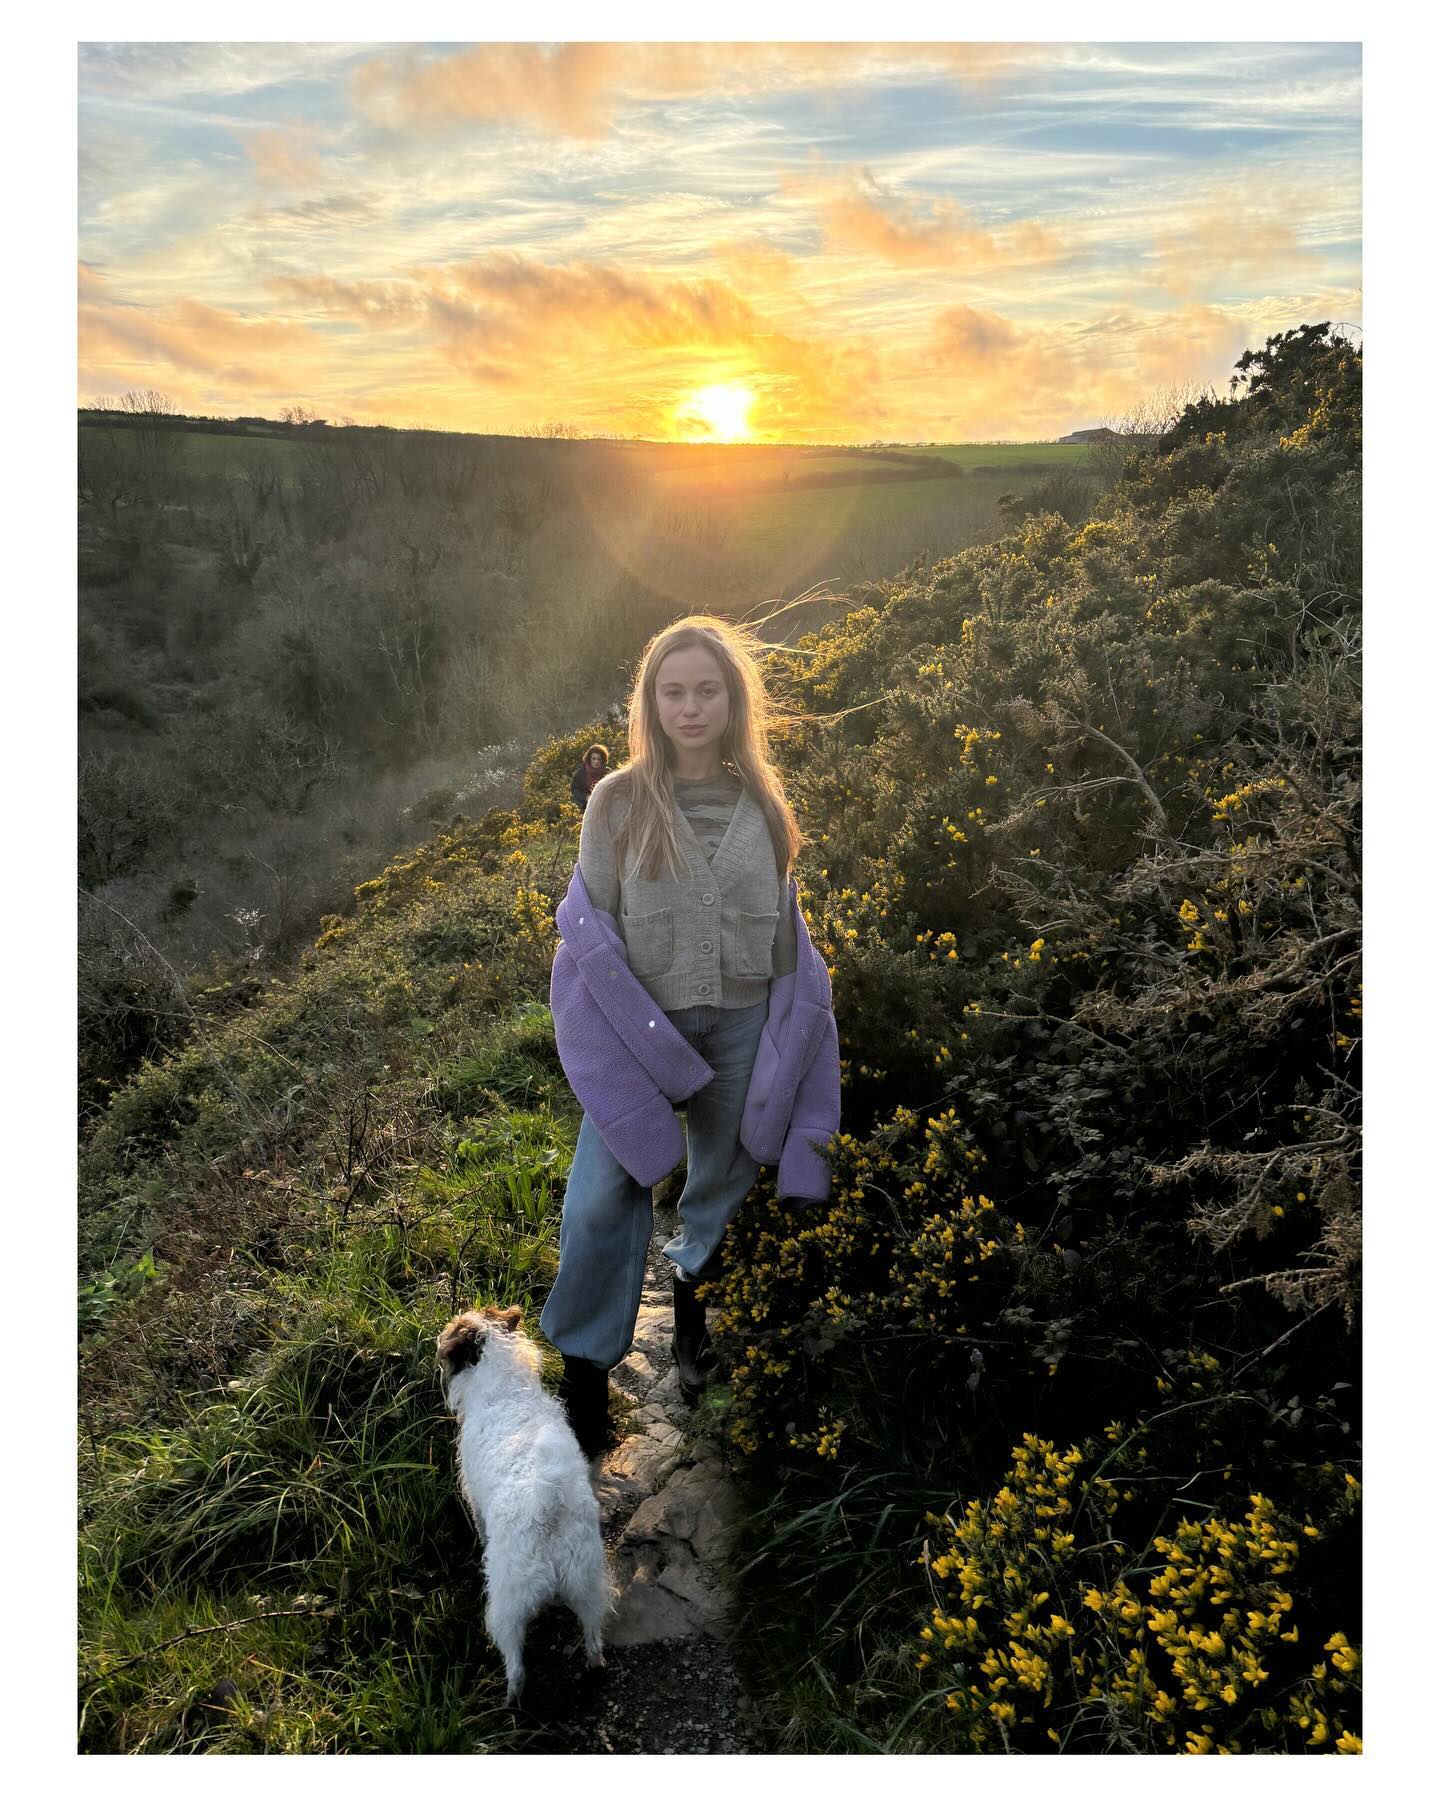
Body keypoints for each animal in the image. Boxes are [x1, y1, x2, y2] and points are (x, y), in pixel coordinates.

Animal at [435, 1310, 612, 1699]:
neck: (506, 1387)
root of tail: (549, 1507)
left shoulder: (474, 1498)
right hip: (587, 1582)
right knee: (594, 1639)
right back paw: (594, 1666)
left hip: (509, 1603)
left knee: (516, 1665)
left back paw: (510, 1698)